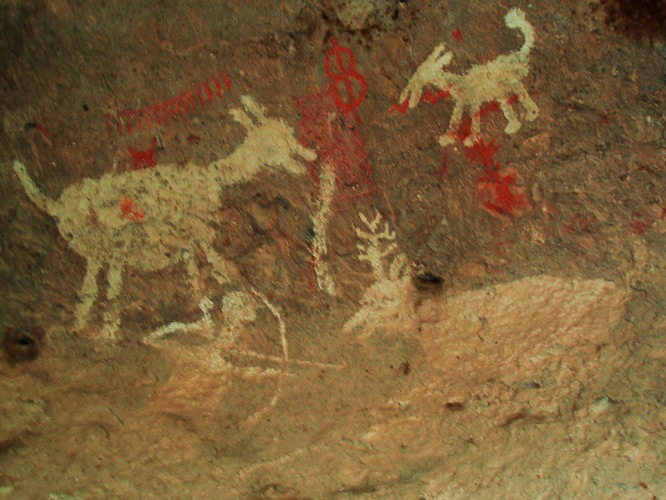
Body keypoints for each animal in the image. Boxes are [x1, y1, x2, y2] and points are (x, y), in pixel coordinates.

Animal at [14, 95, 316, 338]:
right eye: (273, 143)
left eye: (287, 133)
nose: (309, 156)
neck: (211, 178)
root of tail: (57, 204)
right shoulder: (199, 236)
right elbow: (217, 270)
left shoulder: (188, 245)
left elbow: (197, 281)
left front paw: (206, 317)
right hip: (101, 251)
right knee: (94, 291)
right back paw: (94, 332)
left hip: (110, 255)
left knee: (105, 289)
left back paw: (96, 329)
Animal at [396, 8, 536, 146]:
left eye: (422, 75)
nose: (409, 101)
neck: (458, 82)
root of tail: (519, 54)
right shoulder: (464, 101)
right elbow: (458, 119)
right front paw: (450, 138)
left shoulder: (472, 100)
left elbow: (469, 119)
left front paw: (467, 139)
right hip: (500, 89)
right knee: (507, 102)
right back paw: (513, 125)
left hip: (510, 82)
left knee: (521, 92)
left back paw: (532, 114)